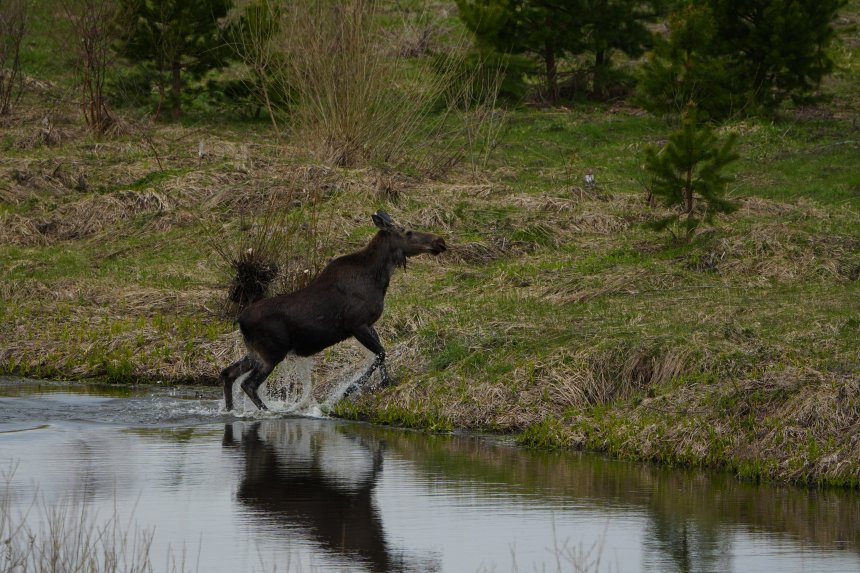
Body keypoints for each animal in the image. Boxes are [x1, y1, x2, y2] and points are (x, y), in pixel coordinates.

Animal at [221, 210, 446, 411]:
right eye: (407, 232)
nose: (440, 241)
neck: (378, 277)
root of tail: (239, 321)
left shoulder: (368, 324)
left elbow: (381, 354)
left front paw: (383, 383)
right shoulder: (356, 324)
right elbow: (380, 354)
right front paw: (349, 390)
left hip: (255, 352)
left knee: (228, 373)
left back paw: (231, 410)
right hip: (271, 353)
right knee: (248, 384)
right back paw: (269, 412)